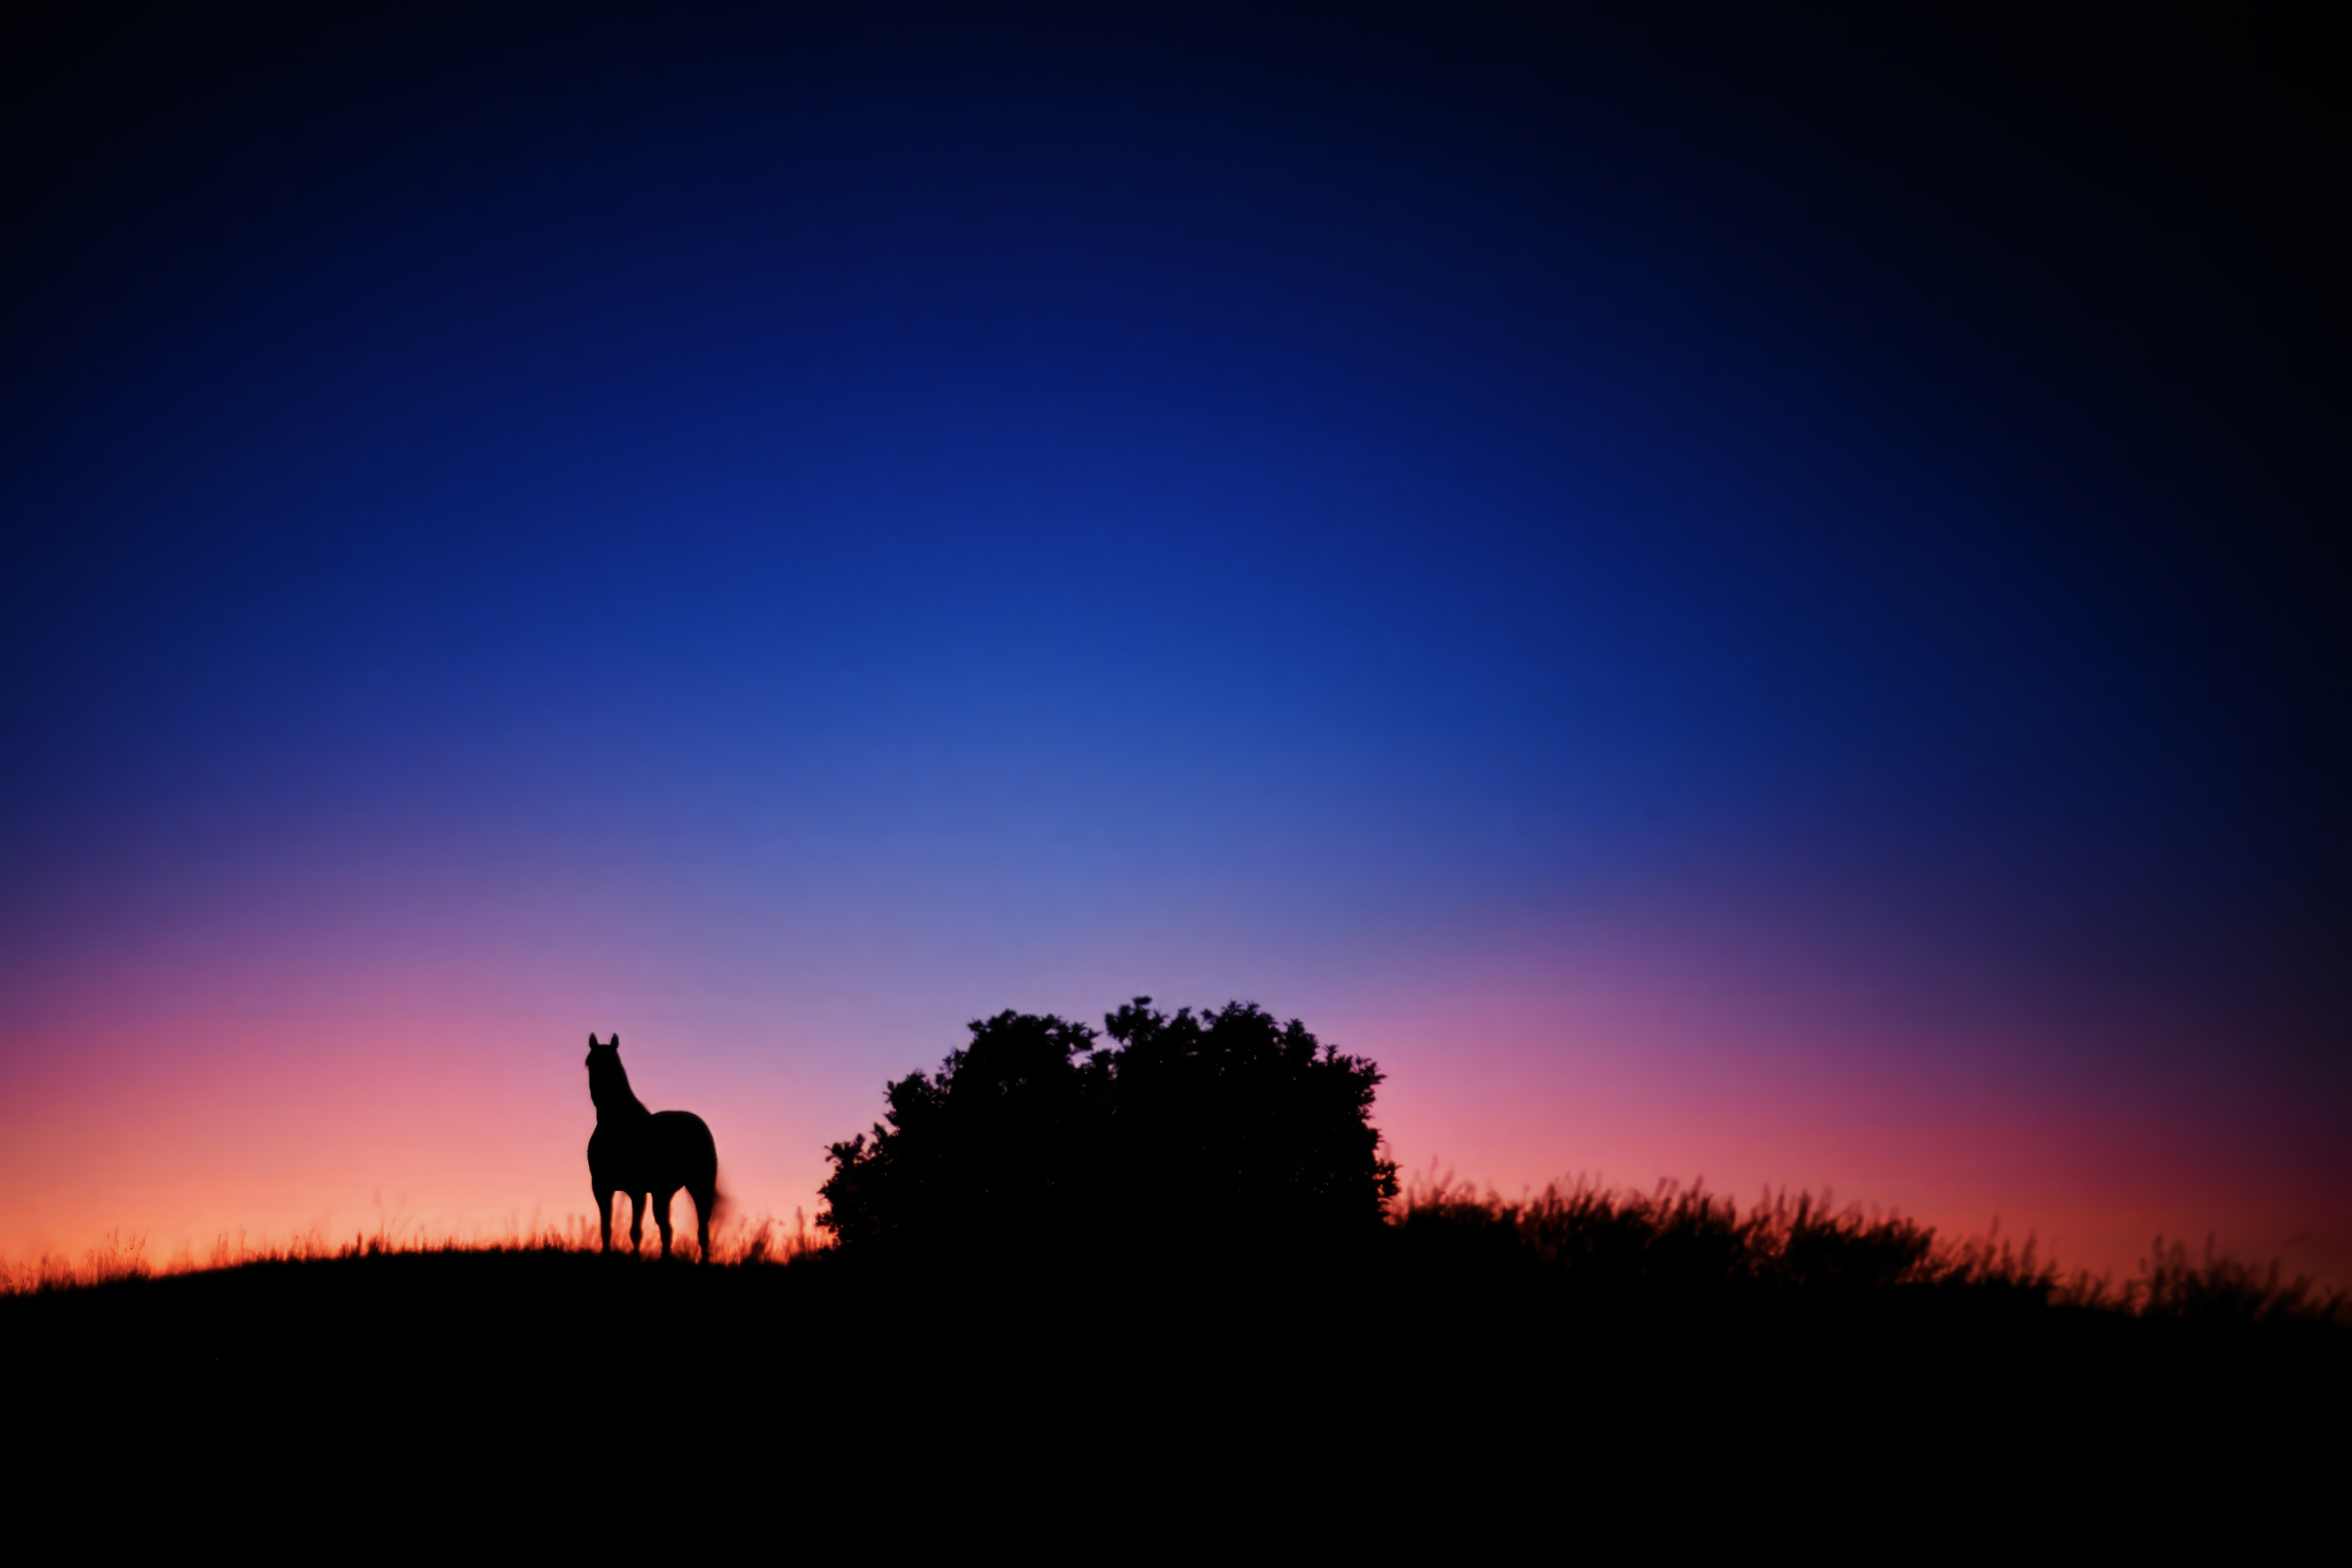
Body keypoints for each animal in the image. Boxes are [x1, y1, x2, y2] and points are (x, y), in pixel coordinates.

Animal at [585, 1033, 720, 1260]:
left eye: (612, 1062)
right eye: (590, 1063)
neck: (618, 1126)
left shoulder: (637, 1190)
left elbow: (635, 1232)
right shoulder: (601, 1187)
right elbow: (606, 1229)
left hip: (700, 1186)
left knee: (702, 1230)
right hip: (663, 1192)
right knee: (667, 1229)